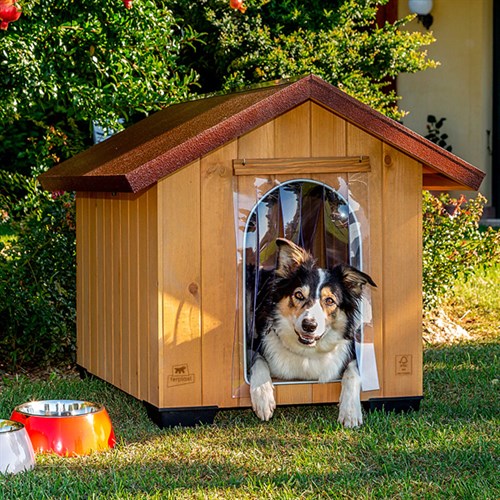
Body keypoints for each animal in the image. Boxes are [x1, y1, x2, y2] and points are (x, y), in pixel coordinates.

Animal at [250, 237, 376, 426]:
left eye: (330, 300)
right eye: (299, 295)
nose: (309, 325)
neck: (308, 352)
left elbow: (353, 371)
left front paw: (350, 411)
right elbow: (257, 361)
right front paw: (262, 396)